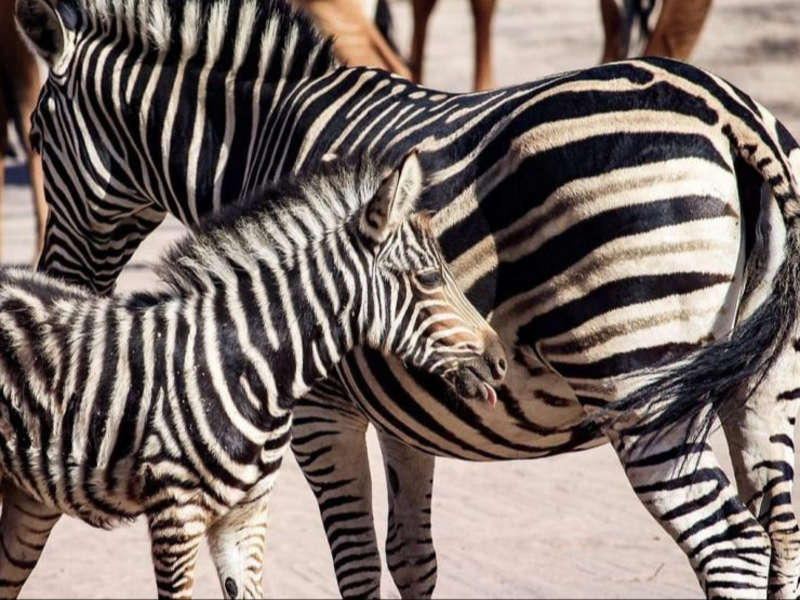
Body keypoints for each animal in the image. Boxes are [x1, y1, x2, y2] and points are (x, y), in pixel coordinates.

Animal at [0, 151, 507, 599]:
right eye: (428, 279)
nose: (500, 361)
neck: (248, 367)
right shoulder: (175, 514)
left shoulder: (246, 514)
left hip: (28, 494)